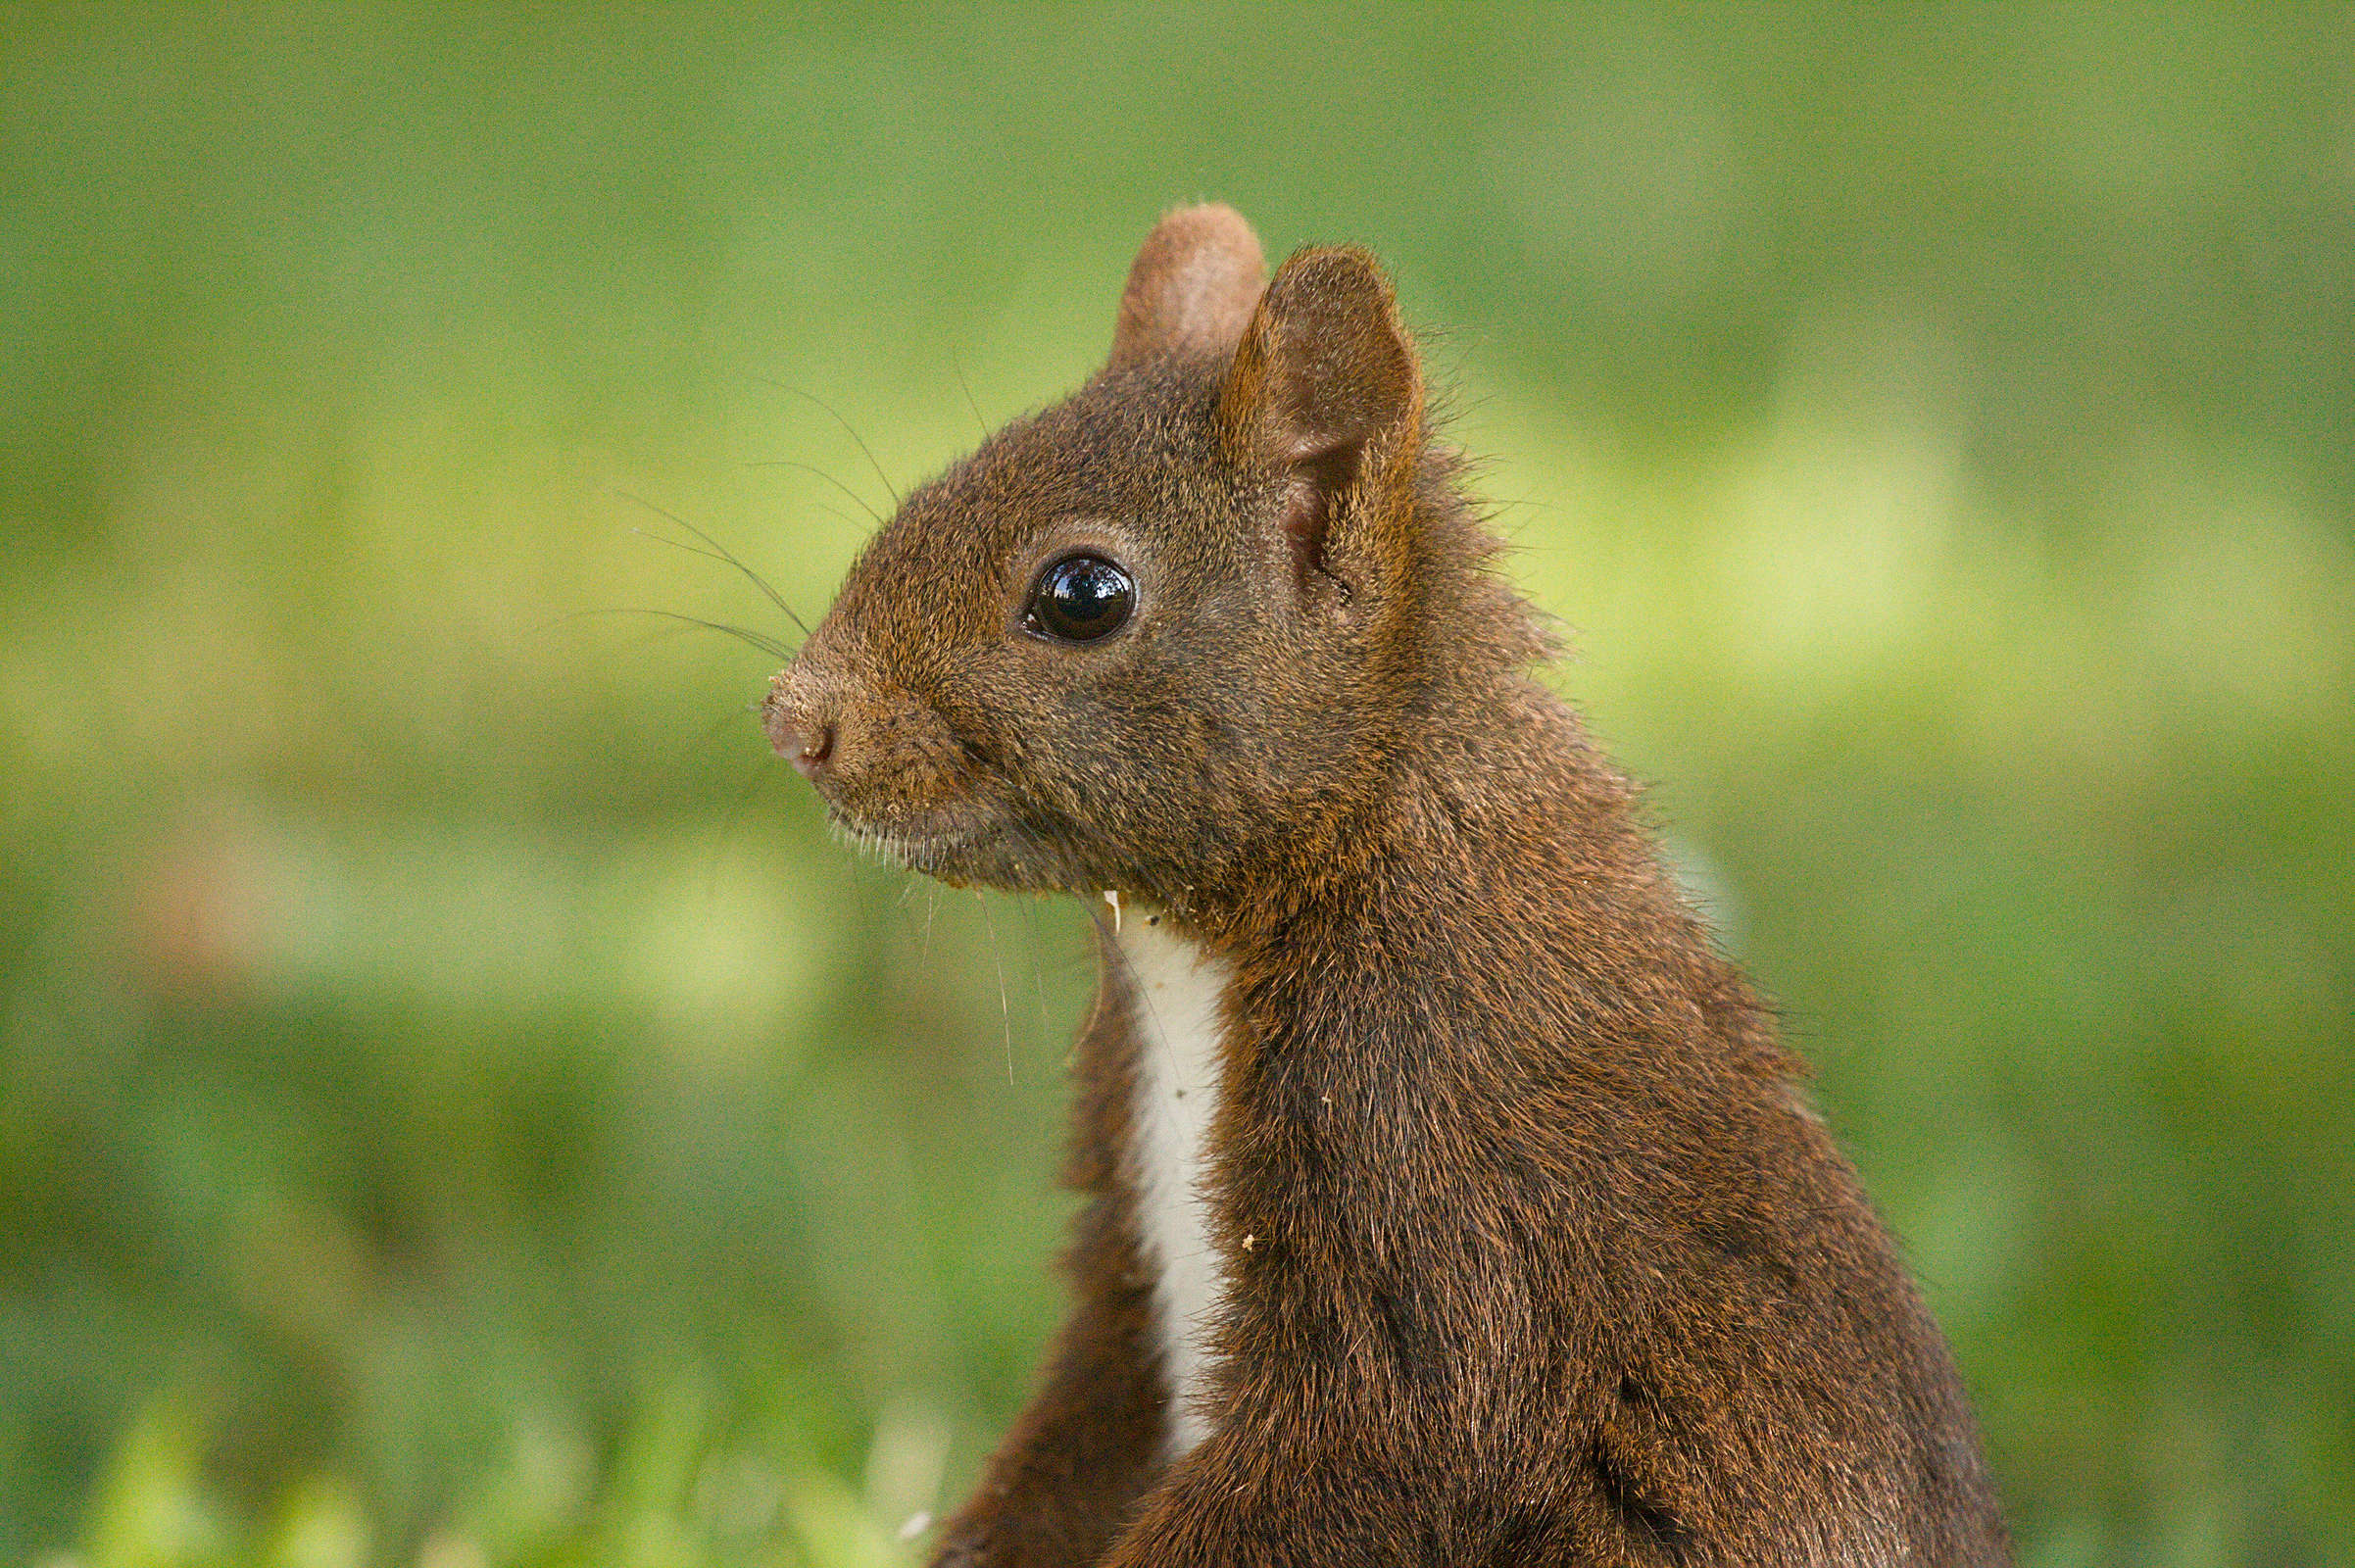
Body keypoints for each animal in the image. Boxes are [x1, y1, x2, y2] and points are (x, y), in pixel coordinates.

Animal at [762, 205, 2010, 1567]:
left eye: (1082, 594)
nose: (796, 720)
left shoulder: (1441, 1161)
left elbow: (1375, 1451)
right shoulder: (1126, 1270)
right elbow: (1084, 1429)